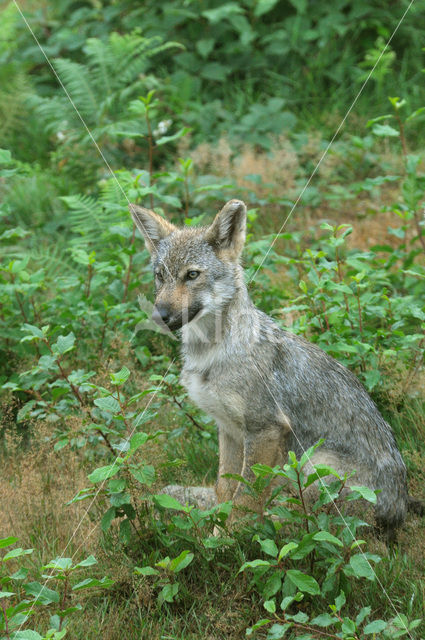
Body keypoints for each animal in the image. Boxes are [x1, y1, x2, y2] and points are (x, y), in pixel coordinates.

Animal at [131, 200, 416, 540]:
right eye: (160, 276)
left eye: (192, 275)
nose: (159, 315)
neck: (210, 355)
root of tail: (401, 511)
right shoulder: (228, 430)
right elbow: (225, 489)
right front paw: (216, 538)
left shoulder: (265, 429)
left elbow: (245, 499)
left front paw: (230, 543)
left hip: (311, 463)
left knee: (312, 526)